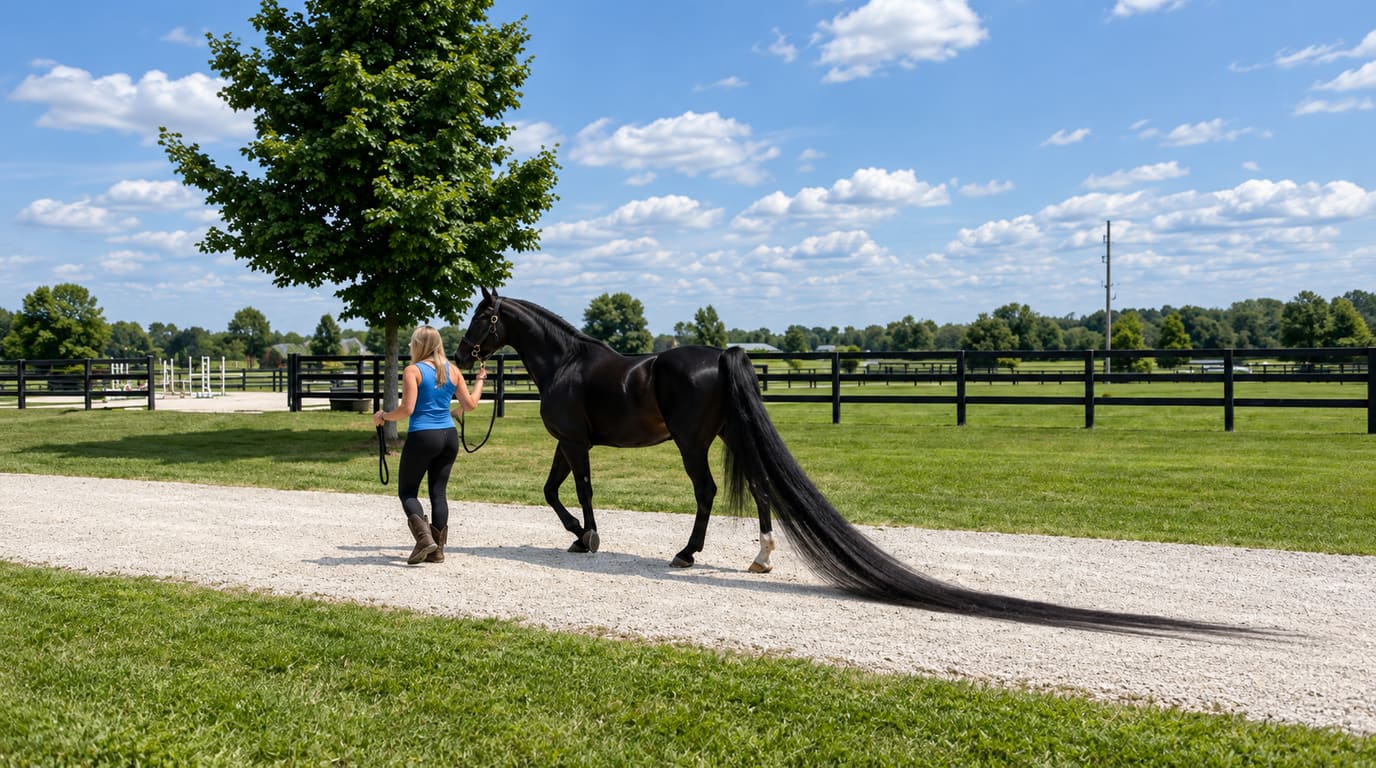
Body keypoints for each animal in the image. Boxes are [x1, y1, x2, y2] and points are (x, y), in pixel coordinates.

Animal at [455, 289, 1247, 635]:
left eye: (482, 317)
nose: (460, 355)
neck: (565, 362)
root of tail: (722, 352)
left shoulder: (575, 443)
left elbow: (570, 492)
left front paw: (585, 538)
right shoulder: (569, 446)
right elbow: (553, 489)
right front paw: (576, 537)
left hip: (694, 442)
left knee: (709, 493)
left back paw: (689, 554)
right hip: (725, 437)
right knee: (756, 493)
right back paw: (759, 558)